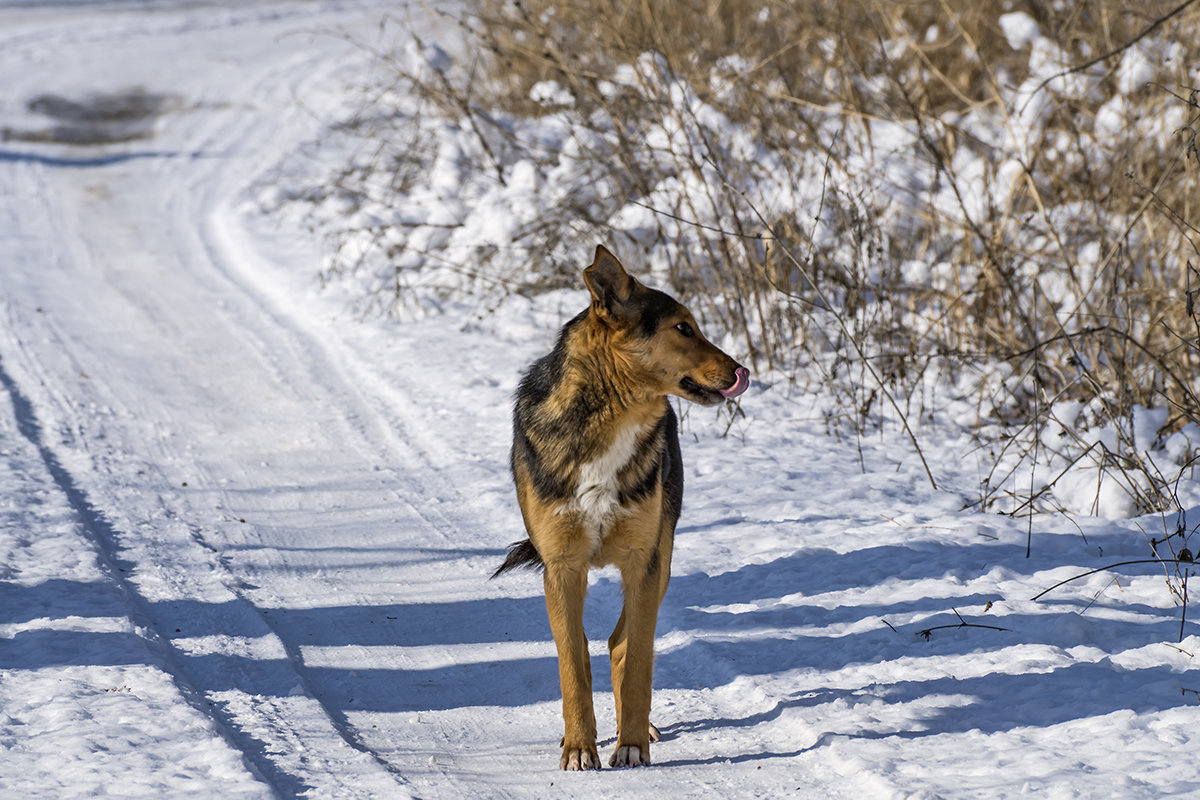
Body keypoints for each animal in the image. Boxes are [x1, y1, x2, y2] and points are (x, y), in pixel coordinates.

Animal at [492, 245, 744, 767]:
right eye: (683, 327)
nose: (739, 371)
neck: (611, 421)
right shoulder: (562, 566)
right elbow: (572, 663)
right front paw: (578, 748)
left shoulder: (642, 560)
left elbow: (638, 660)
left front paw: (629, 744)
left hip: (661, 557)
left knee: (621, 642)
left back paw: (639, 729)